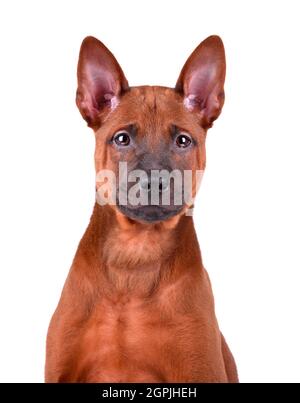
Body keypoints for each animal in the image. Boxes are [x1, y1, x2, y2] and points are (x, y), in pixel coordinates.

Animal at [44, 34, 238, 382]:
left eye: (183, 140)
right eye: (122, 138)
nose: (154, 182)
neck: (136, 253)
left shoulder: (200, 368)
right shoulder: (59, 369)